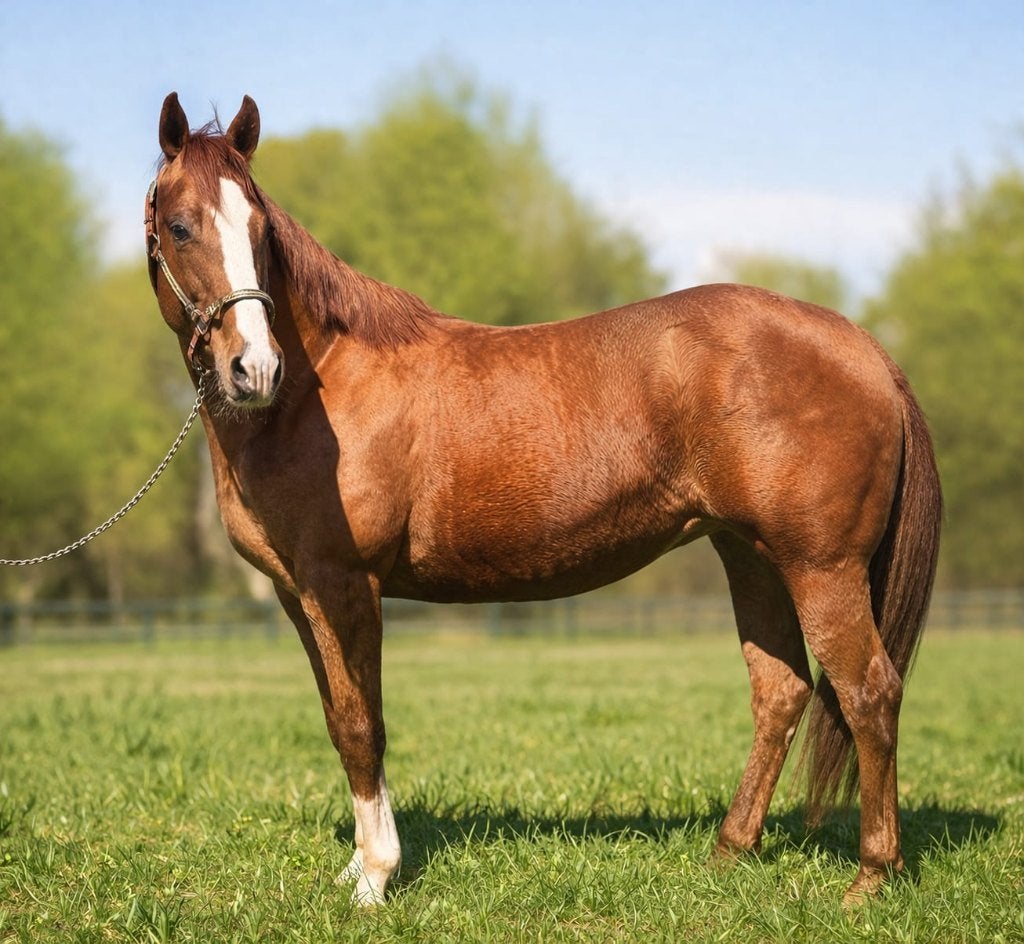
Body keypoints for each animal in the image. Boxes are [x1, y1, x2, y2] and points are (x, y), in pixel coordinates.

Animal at [145, 92, 941, 907]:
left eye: (260, 229)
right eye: (179, 226)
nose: (254, 368)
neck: (320, 390)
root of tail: (864, 348)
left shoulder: (343, 583)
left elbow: (364, 726)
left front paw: (375, 878)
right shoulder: (296, 592)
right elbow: (341, 720)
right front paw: (356, 868)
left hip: (823, 568)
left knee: (869, 692)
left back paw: (871, 878)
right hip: (750, 557)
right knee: (780, 692)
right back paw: (729, 851)